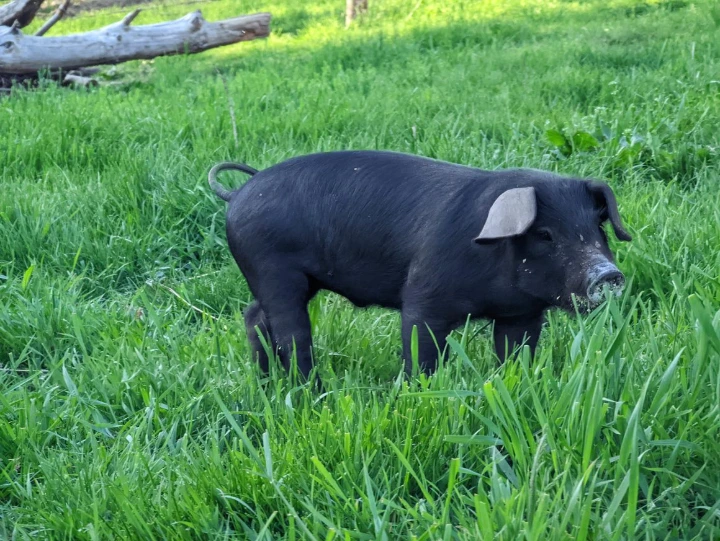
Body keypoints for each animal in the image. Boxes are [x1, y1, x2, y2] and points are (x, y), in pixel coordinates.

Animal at [208, 150, 631, 379]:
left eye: (597, 227)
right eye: (544, 234)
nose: (608, 274)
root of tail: (240, 192)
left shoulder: (522, 314)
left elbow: (515, 353)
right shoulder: (424, 296)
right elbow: (421, 351)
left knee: (254, 317)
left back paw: (266, 382)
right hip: (273, 269)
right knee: (290, 333)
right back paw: (309, 391)